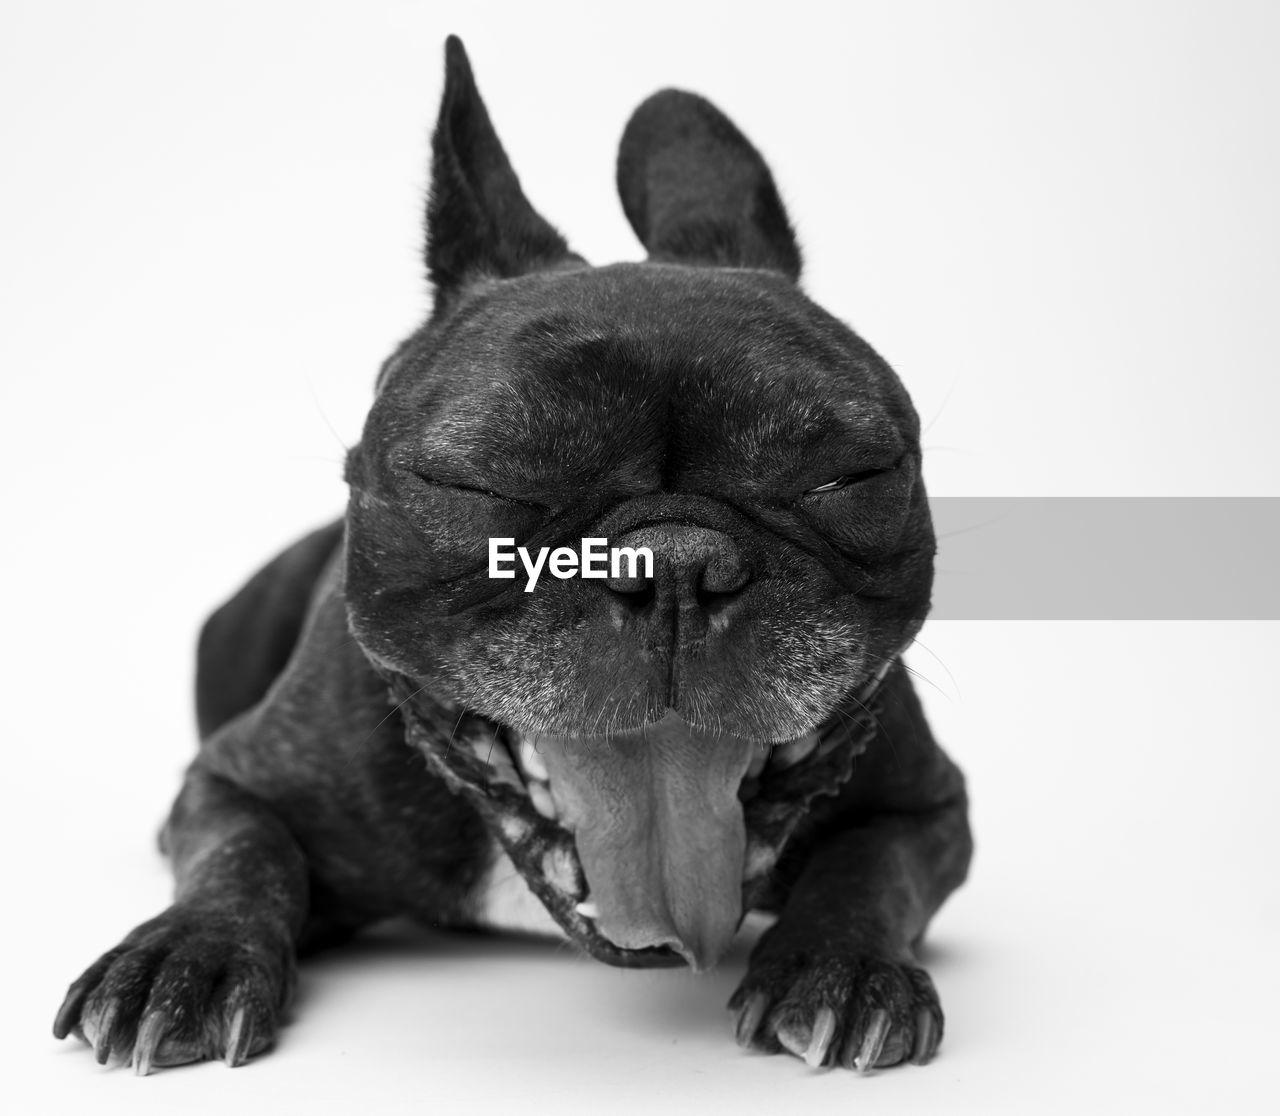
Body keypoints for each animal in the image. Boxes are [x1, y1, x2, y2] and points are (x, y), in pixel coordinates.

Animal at [49, 37, 967, 1069]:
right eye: (483, 485)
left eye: (847, 478)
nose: (673, 564)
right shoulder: (230, 779)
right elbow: (241, 854)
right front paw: (188, 953)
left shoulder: (932, 809)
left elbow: (871, 866)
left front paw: (843, 964)